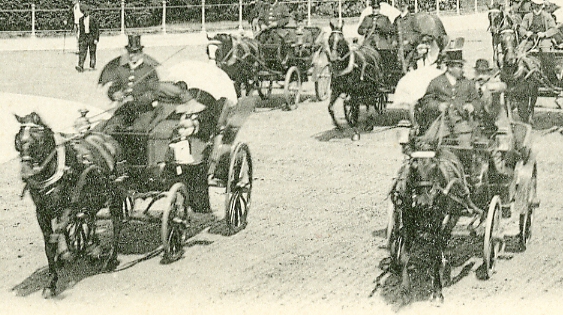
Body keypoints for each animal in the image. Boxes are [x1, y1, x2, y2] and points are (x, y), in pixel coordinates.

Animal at [14, 113, 123, 298]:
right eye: (18, 141)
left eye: (39, 140)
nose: (26, 173)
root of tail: (107, 138)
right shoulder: (41, 213)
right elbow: (49, 245)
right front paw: (52, 278)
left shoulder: (67, 209)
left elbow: (55, 237)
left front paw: (62, 260)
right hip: (92, 197)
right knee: (91, 218)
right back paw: (94, 248)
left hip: (114, 192)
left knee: (116, 222)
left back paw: (110, 258)